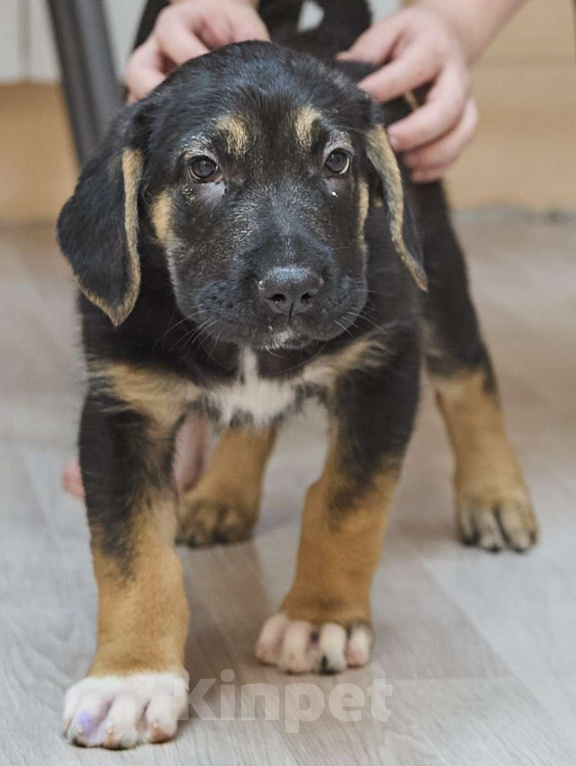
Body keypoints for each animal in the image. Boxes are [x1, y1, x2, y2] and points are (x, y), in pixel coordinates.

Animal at [56, 7, 536, 752]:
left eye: (337, 162)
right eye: (203, 168)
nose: (292, 290)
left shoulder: (383, 367)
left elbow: (345, 504)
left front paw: (320, 618)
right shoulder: (121, 410)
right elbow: (131, 556)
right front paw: (131, 678)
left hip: (430, 257)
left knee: (468, 375)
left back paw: (493, 493)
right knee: (255, 422)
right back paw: (222, 495)